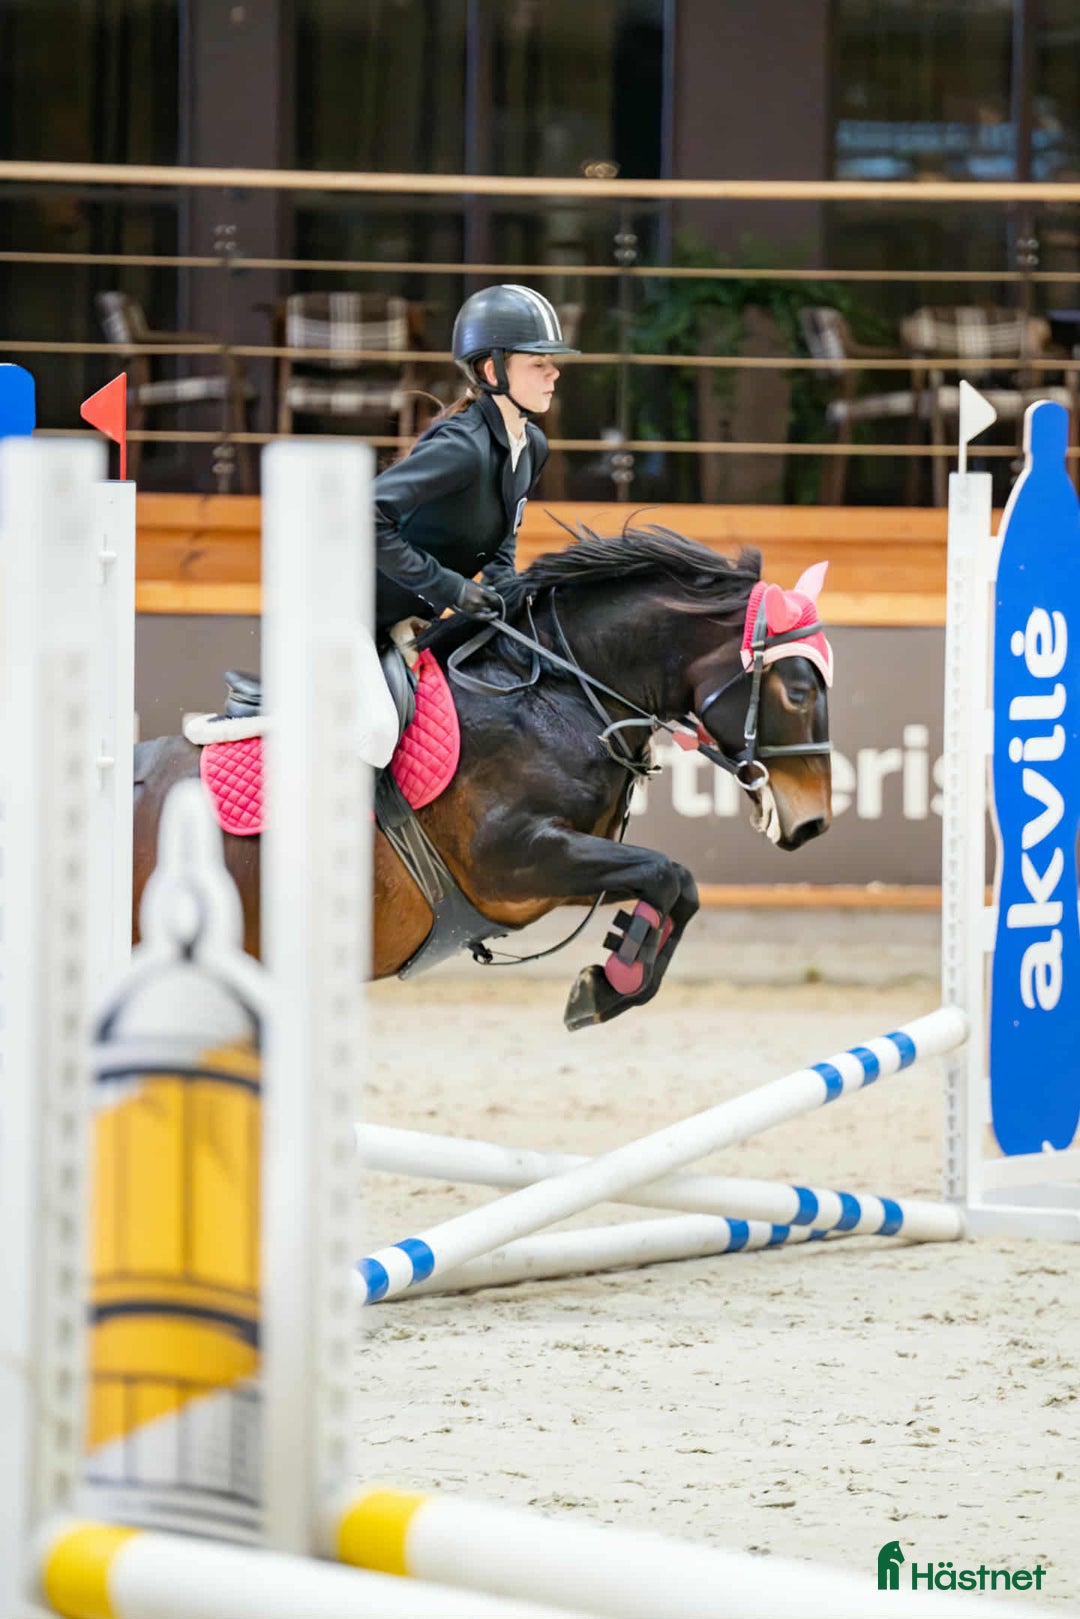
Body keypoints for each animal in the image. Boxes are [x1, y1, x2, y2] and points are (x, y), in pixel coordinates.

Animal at [133, 526, 833, 1028]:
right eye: (798, 691)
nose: (813, 822)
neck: (557, 693)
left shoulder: (557, 875)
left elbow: (678, 886)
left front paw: (610, 983)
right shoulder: (512, 861)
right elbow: (664, 873)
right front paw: (609, 984)